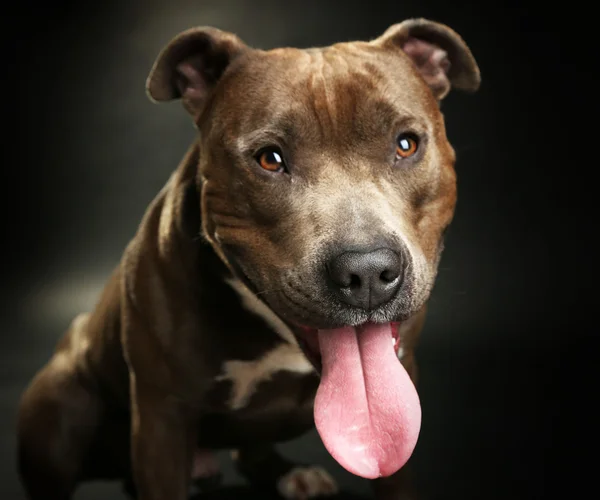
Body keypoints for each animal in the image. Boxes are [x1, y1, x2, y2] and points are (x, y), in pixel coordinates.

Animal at [16, 17, 480, 498]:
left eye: (406, 145)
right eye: (269, 159)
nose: (367, 271)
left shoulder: (401, 381)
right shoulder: (161, 416)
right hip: (60, 411)